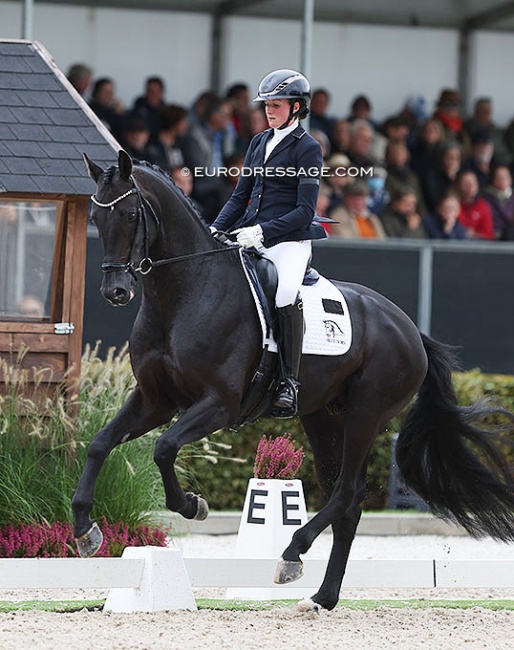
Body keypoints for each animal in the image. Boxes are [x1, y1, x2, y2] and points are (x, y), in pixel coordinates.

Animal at [74, 152, 512, 612]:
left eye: (129, 214)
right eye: (95, 217)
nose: (115, 291)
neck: (184, 292)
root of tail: (410, 330)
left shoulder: (218, 405)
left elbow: (164, 448)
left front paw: (192, 506)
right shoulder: (154, 400)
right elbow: (100, 444)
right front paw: (86, 531)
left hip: (367, 414)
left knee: (347, 492)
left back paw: (292, 554)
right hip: (324, 419)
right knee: (346, 502)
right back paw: (321, 597)